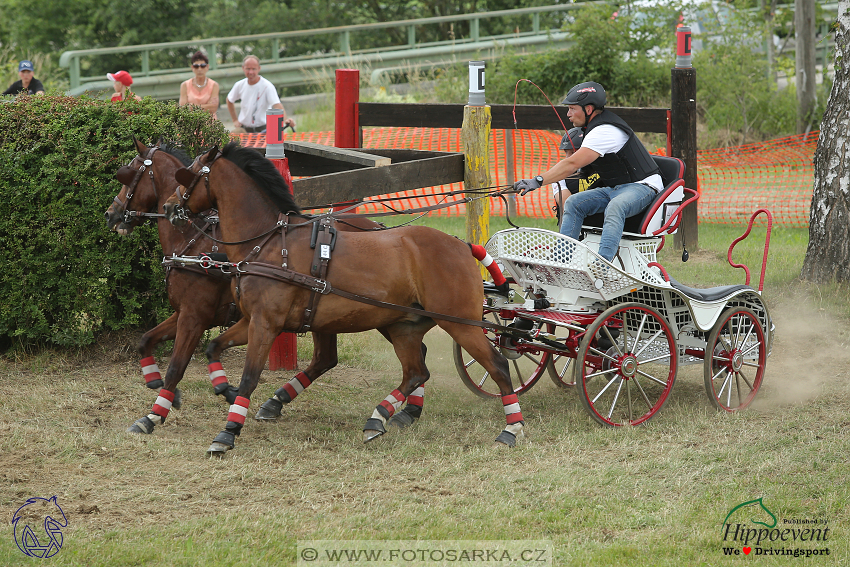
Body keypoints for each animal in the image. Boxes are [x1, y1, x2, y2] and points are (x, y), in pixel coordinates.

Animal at [103, 141, 390, 434]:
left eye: (129, 173)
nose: (110, 213)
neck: (194, 241)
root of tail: (377, 227)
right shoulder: (188, 313)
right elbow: (146, 341)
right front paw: (166, 386)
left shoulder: (195, 316)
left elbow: (176, 366)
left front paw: (153, 415)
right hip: (323, 315)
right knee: (326, 358)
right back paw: (277, 402)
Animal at [160, 142, 520, 458]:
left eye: (189, 174)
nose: (168, 207)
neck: (268, 243)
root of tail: (462, 245)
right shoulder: (250, 320)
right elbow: (213, 348)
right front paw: (224, 390)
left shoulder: (265, 324)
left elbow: (250, 376)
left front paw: (227, 432)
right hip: (404, 326)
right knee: (416, 373)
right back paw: (379, 418)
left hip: (460, 324)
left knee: (498, 366)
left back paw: (511, 429)